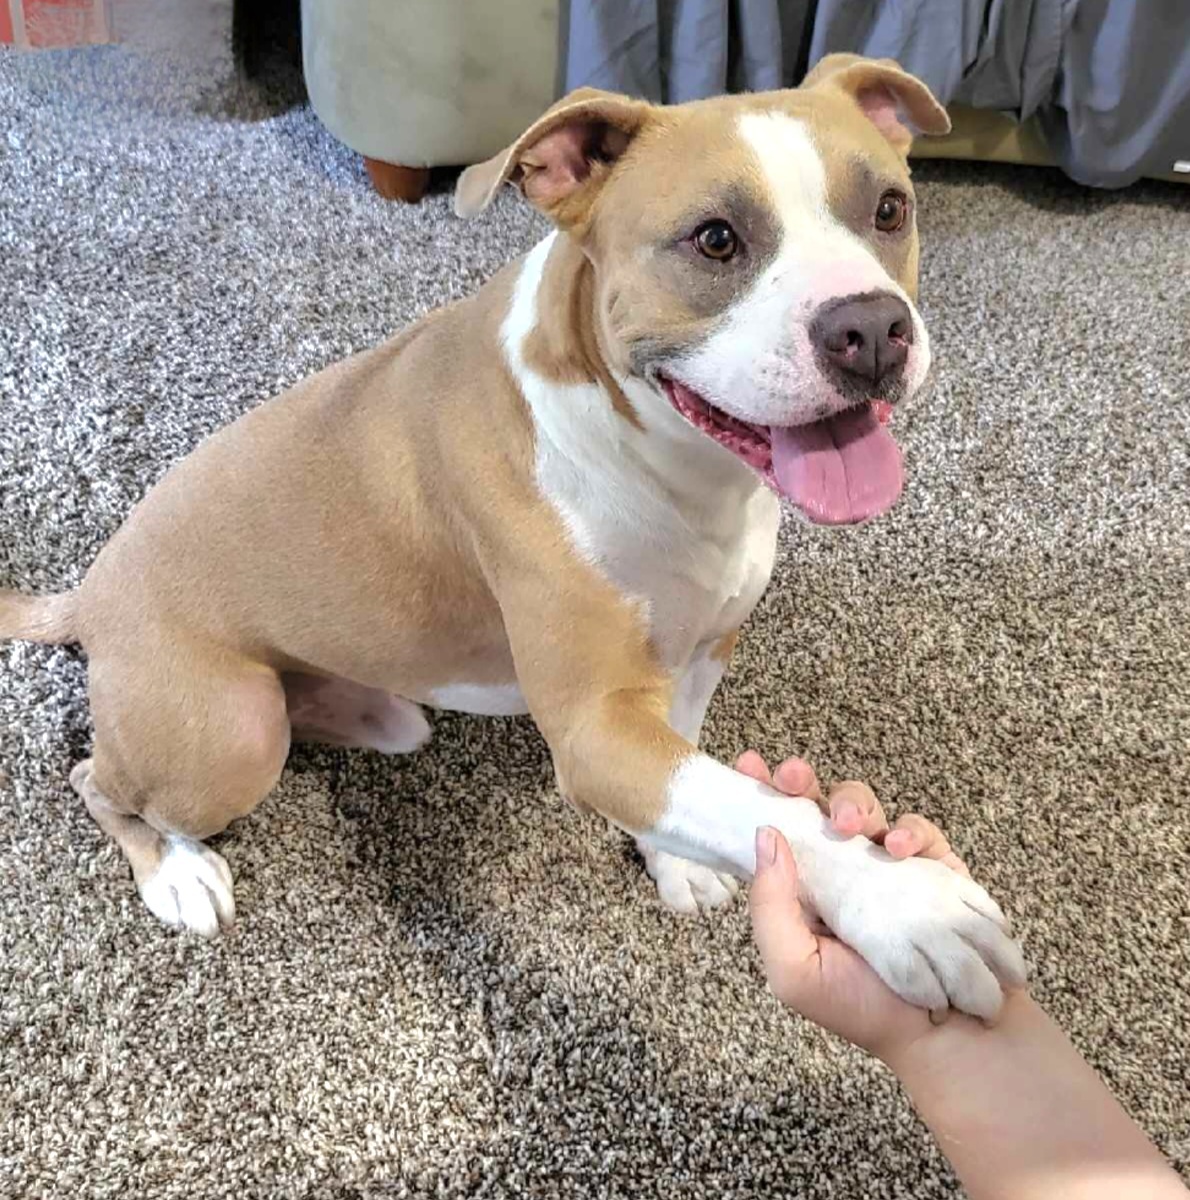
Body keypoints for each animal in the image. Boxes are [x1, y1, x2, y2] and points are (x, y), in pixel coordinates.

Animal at [0, 54, 1022, 1012]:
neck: (673, 466)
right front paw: (899, 901)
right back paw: (176, 872)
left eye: (889, 208)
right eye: (715, 239)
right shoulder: (592, 725)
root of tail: (89, 592)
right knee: (98, 779)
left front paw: (677, 862)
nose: (874, 329)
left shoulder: (694, 663)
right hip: (229, 734)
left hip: (362, 713)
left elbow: (712, 787)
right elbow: (755, 804)